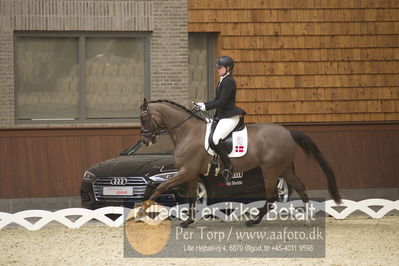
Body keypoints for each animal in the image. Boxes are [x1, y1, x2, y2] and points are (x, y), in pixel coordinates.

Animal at [139, 98, 342, 228]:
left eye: (143, 117)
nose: (146, 140)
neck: (187, 132)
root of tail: (287, 132)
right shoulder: (192, 174)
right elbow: (191, 198)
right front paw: (188, 221)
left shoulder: (186, 171)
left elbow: (161, 186)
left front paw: (142, 211)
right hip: (284, 169)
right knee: (300, 188)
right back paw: (307, 219)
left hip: (270, 170)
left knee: (272, 196)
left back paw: (253, 221)